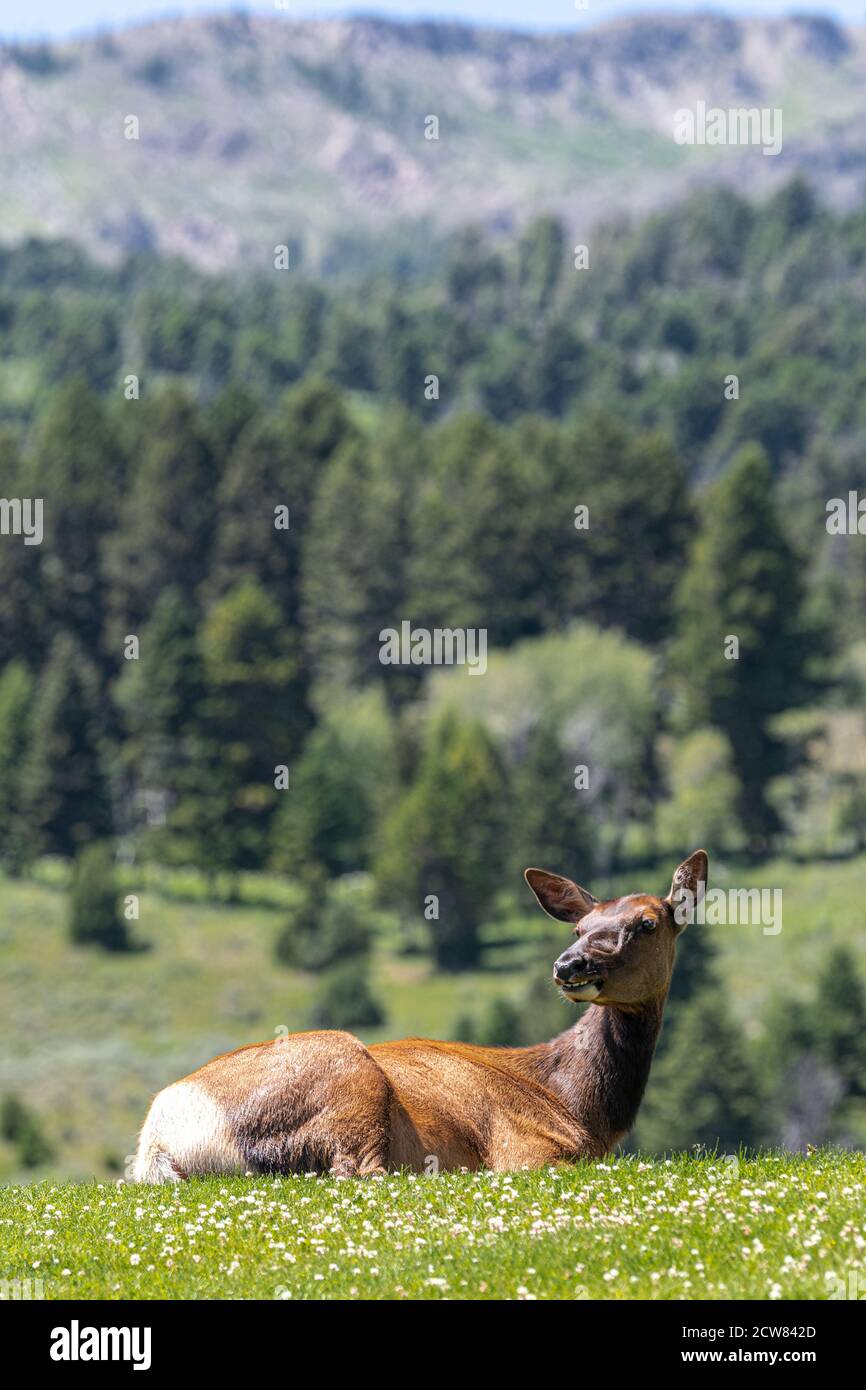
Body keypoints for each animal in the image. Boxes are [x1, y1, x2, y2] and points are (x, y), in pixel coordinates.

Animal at [132, 850, 708, 1178]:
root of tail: (158, 1142)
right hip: (346, 1074)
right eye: (579, 927)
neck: (579, 1109)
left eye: (647, 923)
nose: (570, 964)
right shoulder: (525, 1149)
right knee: (359, 1171)